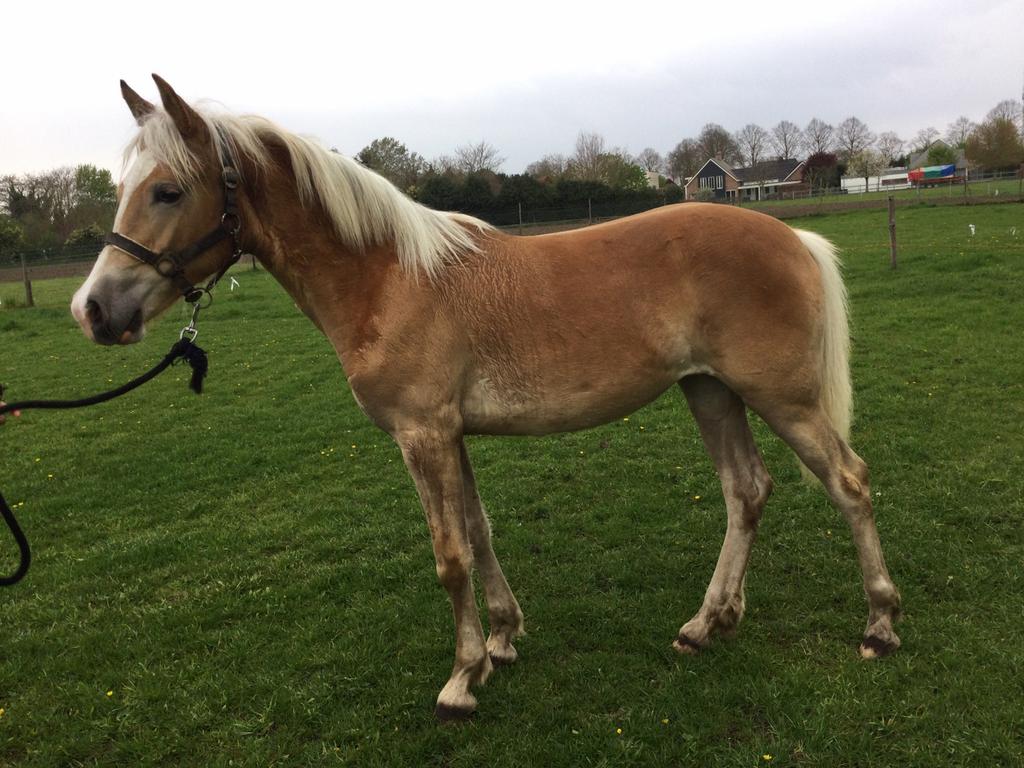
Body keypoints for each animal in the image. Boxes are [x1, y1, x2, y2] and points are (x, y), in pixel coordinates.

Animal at [70, 75, 902, 720]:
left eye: (168, 190)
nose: (94, 310)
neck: (388, 277)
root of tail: (796, 239)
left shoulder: (422, 435)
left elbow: (449, 556)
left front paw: (461, 679)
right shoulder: (453, 435)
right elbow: (480, 532)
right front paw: (502, 640)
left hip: (781, 398)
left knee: (849, 483)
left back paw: (878, 625)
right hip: (711, 393)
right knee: (745, 491)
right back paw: (708, 623)